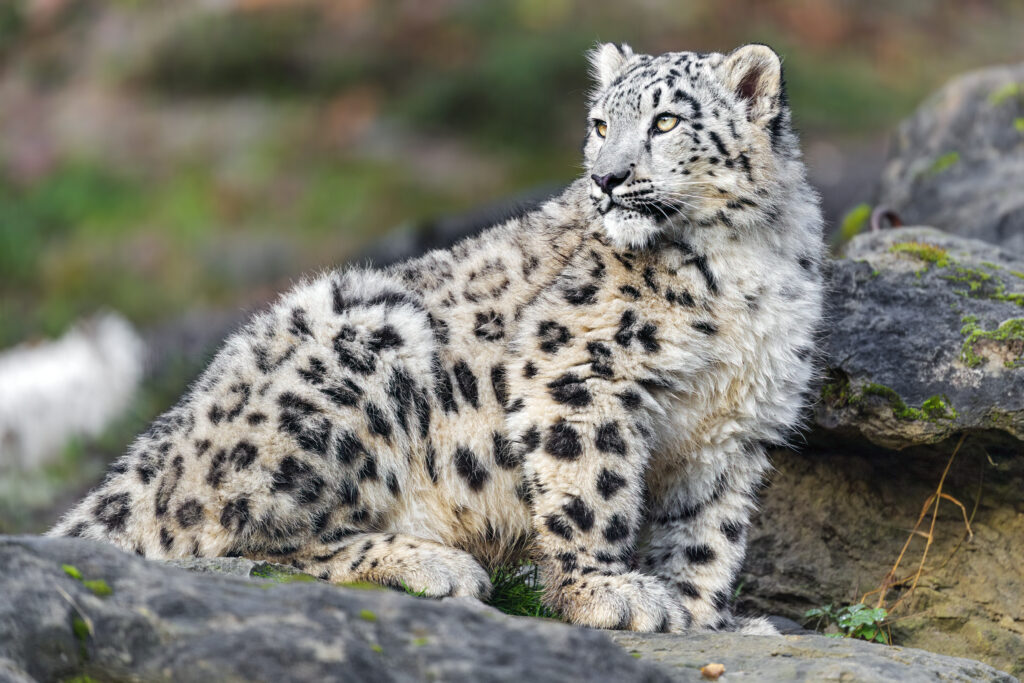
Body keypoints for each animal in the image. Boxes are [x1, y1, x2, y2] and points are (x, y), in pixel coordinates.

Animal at [49, 42, 824, 634]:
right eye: (603, 124)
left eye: (665, 121)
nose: (607, 179)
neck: (740, 269)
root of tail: (166, 439)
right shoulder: (578, 372)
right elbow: (589, 486)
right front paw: (609, 593)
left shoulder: (735, 424)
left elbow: (707, 533)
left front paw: (706, 617)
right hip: (360, 339)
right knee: (236, 534)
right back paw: (434, 563)